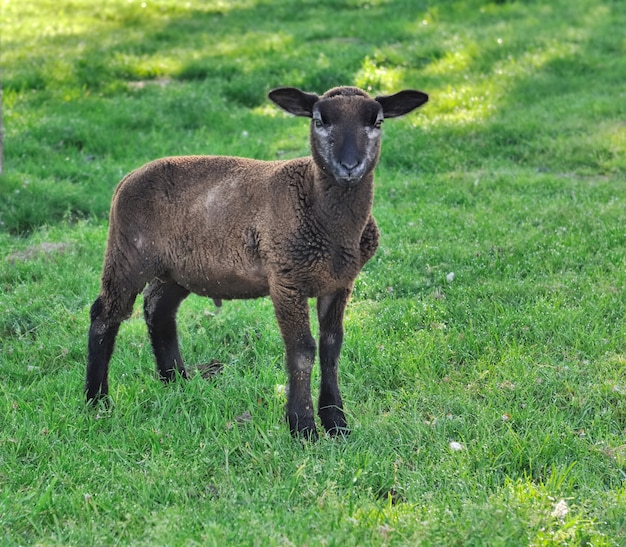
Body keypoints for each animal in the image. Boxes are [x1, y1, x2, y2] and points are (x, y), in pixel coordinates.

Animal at [85, 85, 426, 438]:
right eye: (319, 120)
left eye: (377, 122)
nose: (349, 166)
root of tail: (128, 177)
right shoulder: (286, 279)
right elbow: (302, 350)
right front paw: (302, 426)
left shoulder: (340, 283)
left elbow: (332, 347)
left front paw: (336, 422)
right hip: (128, 254)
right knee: (104, 315)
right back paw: (97, 401)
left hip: (179, 270)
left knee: (158, 310)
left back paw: (176, 381)